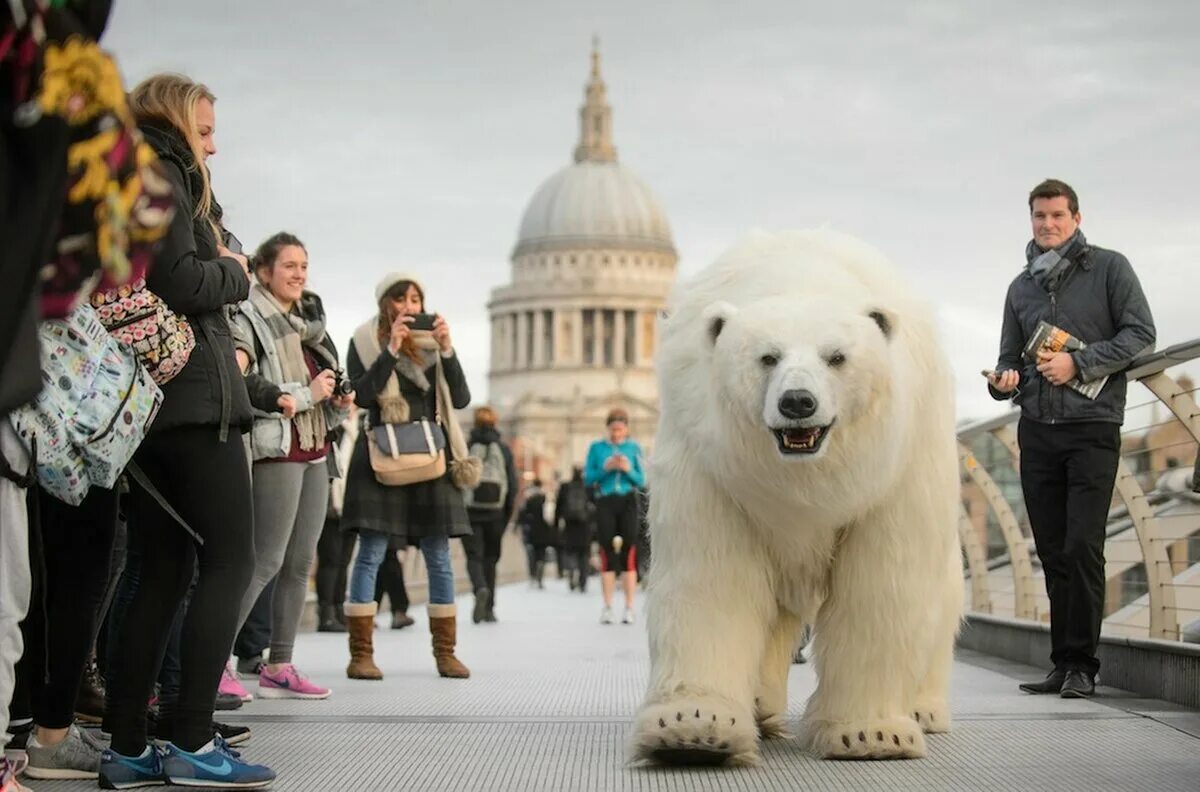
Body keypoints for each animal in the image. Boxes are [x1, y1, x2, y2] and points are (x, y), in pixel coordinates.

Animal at [633, 225, 960, 763]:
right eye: (768, 356)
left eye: (837, 357)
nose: (797, 402)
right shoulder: (712, 467)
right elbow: (712, 578)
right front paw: (692, 727)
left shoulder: (894, 470)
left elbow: (881, 583)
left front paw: (870, 734)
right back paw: (761, 709)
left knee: (938, 600)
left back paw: (924, 710)